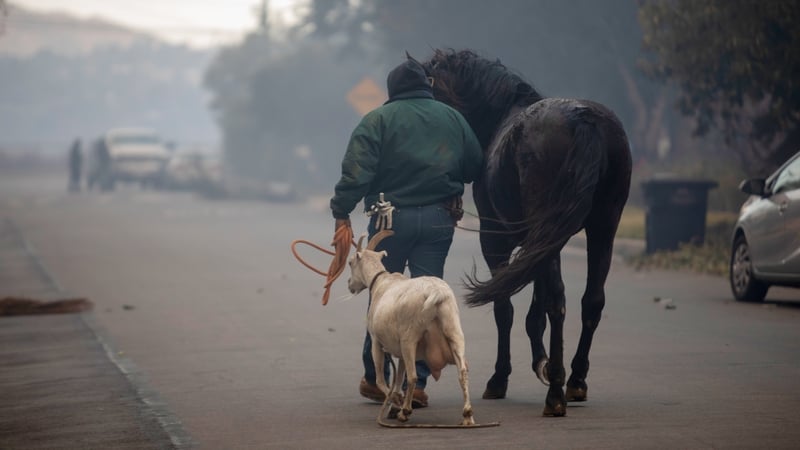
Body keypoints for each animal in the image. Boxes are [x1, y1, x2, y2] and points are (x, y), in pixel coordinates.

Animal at [347, 230, 474, 425]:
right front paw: (395, 403)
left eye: (350, 262)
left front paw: (396, 403)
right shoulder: (399, 352)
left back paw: (405, 412)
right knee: (462, 371)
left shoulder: (377, 341)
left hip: (410, 338)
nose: (349, 285)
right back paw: (467, 415)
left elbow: (382, 381)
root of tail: (436, 293)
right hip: (454, 331)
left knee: (413, 376)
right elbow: (399, 378)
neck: (382, 281)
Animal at [417, 49, 632, 416]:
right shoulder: (543, 242)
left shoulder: (496, 240)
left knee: (559, 302)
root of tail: (584, 120)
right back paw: (575, 380)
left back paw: (556, 393)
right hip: (604, 226)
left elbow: (506, 309)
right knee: (591, 301)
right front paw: (541, 363)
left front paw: (500, 378)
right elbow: (536, 308)